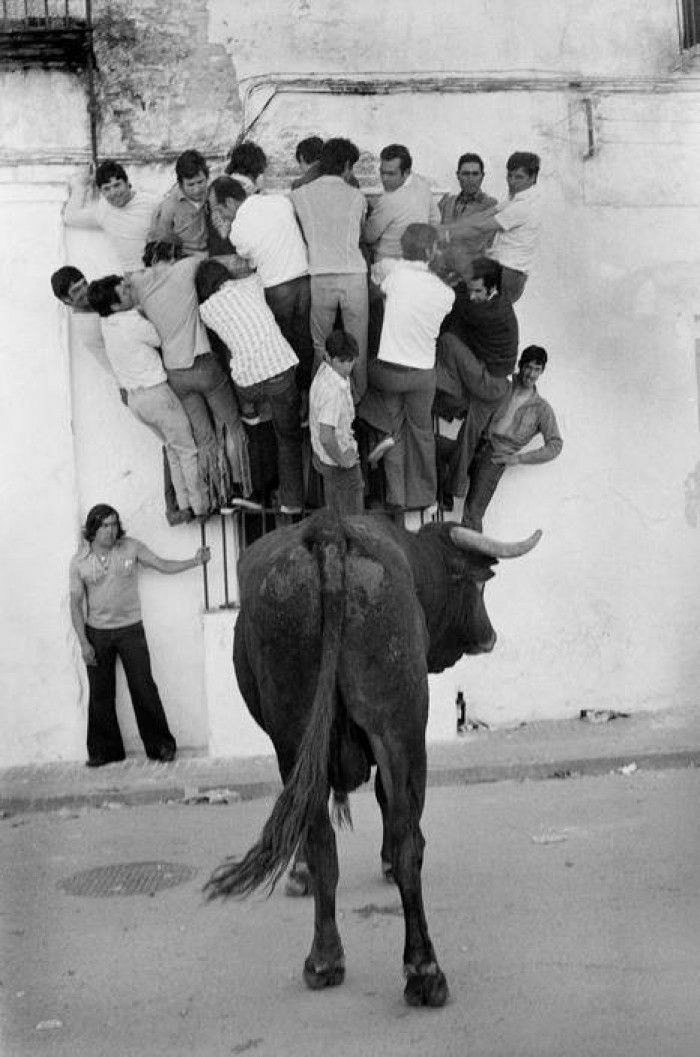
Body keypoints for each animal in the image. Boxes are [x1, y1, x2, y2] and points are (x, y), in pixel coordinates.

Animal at [205, 509, 541, 1008]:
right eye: (475, 589)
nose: (489, 636)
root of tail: (329, 533)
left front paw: (301, 874)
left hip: (301, 732)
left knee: (326, 838)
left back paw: (328, 959)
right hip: (399, 728)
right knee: (404, 840)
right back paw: (422, 969)